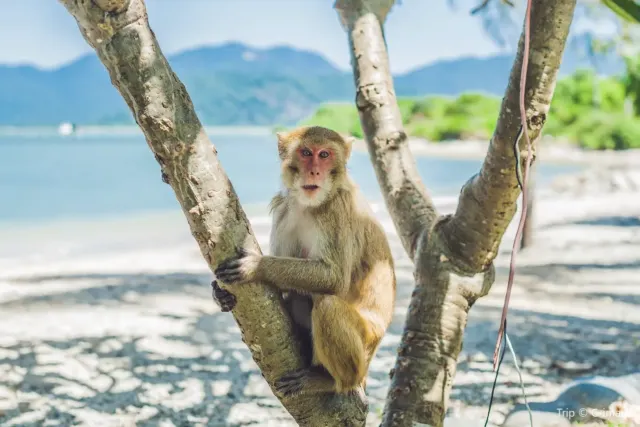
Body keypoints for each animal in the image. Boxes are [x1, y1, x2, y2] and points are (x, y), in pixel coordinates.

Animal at [215, 125, 396, 400]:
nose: (314, 171)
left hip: (364, 349)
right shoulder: (284, 210)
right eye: (306, 152)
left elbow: (335, 279)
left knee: (328, 306)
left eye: (324, 155)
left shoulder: (338, 210)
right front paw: (220, 295)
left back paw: (331, 381)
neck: (310, 206)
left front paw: (256, 267)